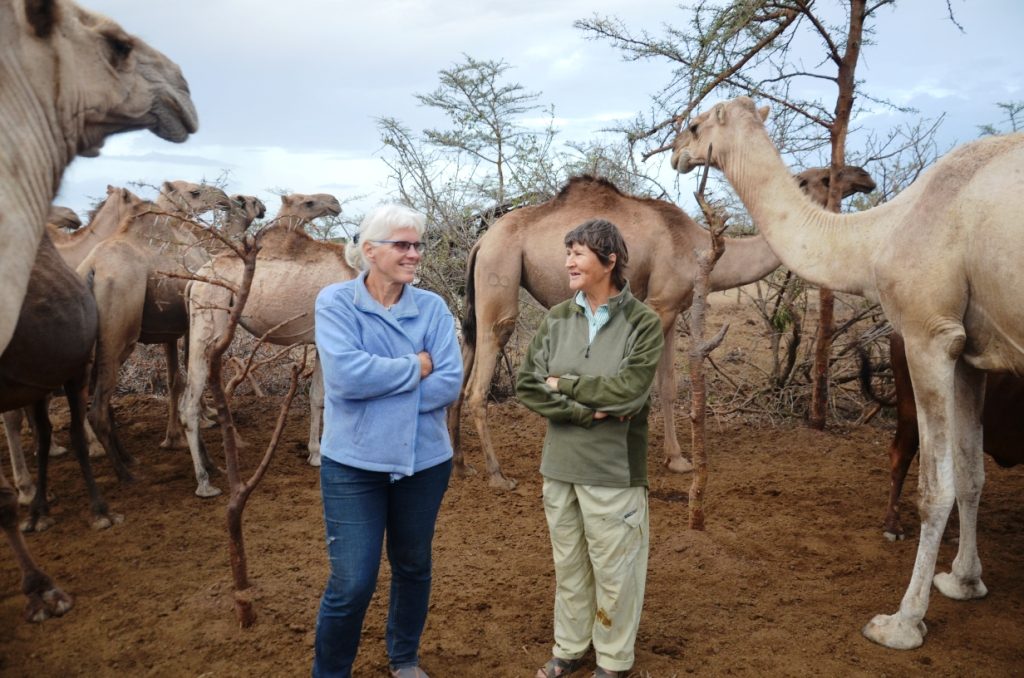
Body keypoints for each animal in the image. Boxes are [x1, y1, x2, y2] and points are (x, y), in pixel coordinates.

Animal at [0, 0, 197, 622]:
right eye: (117, 45)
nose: (182, 91)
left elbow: (175, 378)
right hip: (113, 335)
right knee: (94, 402)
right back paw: (110, 479)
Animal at [178, 193, 346, 497]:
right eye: (309, 203)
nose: (335, 203)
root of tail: (193, 282)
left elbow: (317, 396)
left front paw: (315, 454)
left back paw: (210, 467)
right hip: (207, 316)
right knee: (189, 404)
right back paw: (205, 483)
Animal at [450, 170, 872, 489]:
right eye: (826, 177)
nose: (865, 178)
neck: (697, 243)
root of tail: (481, 240)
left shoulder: (668, 309)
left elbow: (669, 385)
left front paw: (676, 458)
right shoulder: (663, 303)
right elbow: (654, 384)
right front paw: (663, 457)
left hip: (478, 293)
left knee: (463, 358)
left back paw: (459, 464)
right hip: (500, 277)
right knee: (481, 375)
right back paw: (498, 475)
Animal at [671, 95, 1024, 655]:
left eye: (694, 124)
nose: (675, 153)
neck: (880, 235)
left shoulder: (930, 333)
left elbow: (937, 487)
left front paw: (901, 623)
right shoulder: (971, 351)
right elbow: (972, 475)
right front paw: (964, 581)